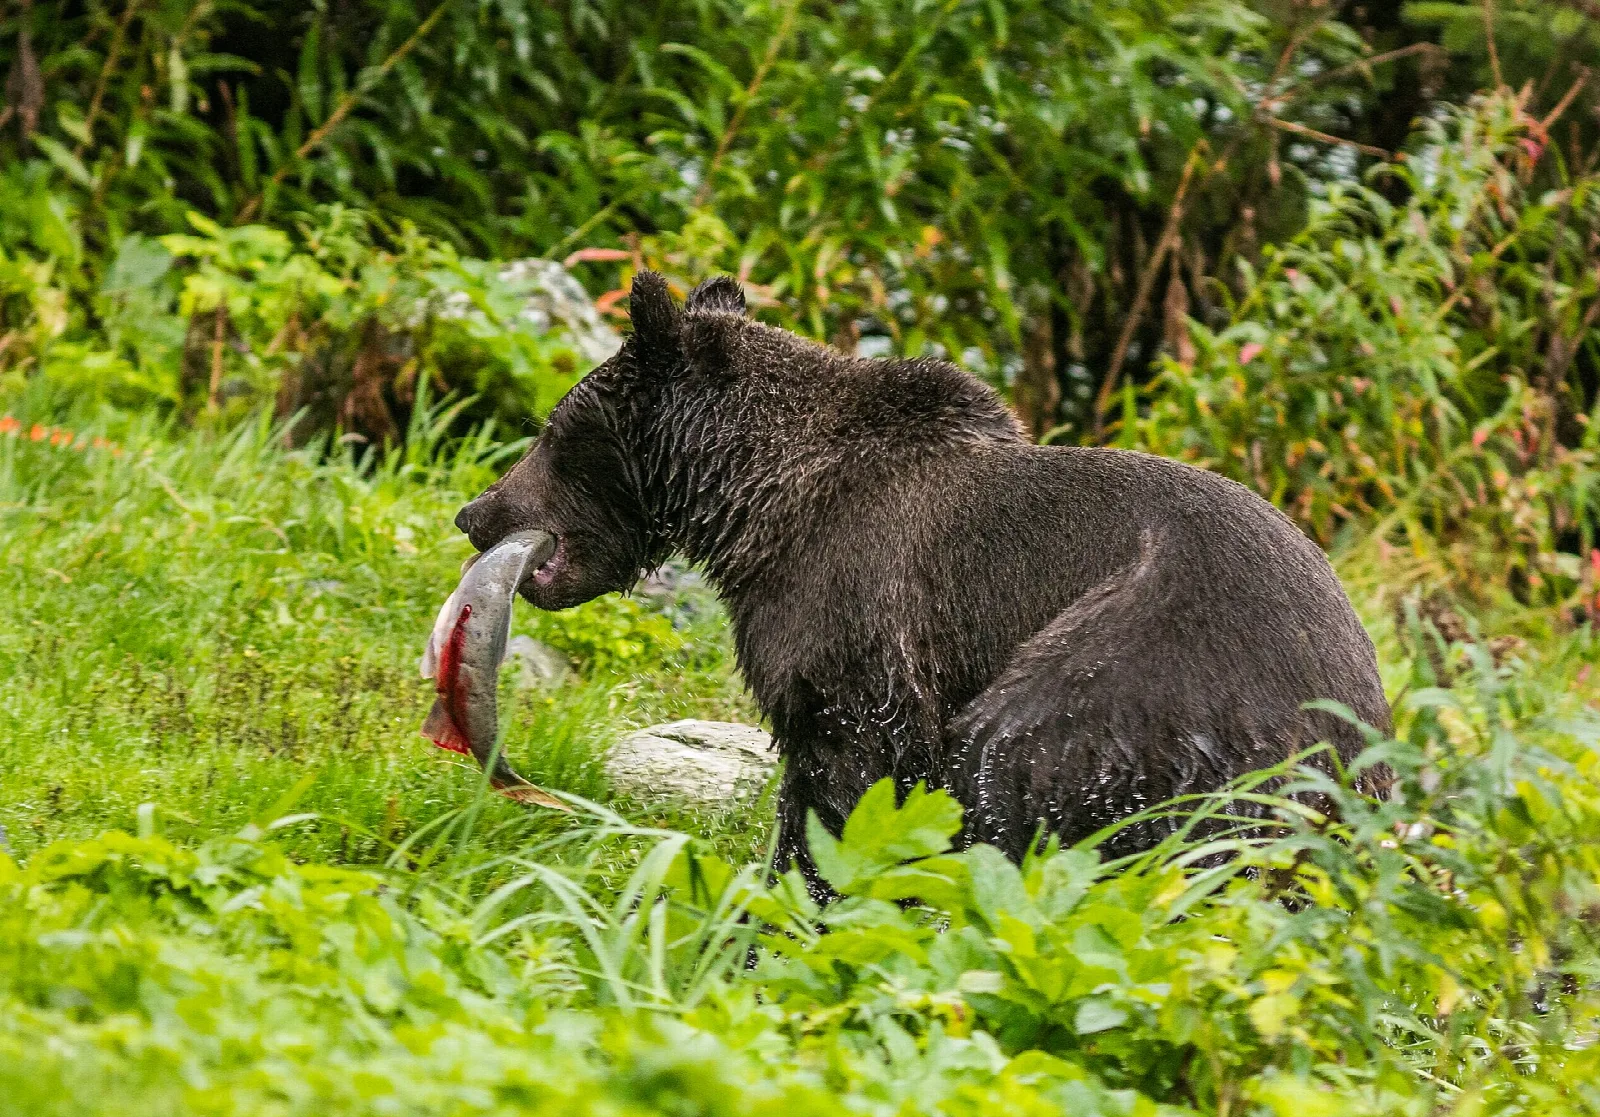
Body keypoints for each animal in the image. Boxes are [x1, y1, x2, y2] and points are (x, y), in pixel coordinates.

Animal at [454, 271, 1391, 878]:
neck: (757, 503)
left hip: (1136, 673)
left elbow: (846, 782)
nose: (475, 512)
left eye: (552, 429)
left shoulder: (855, 619)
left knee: (1013, 763)